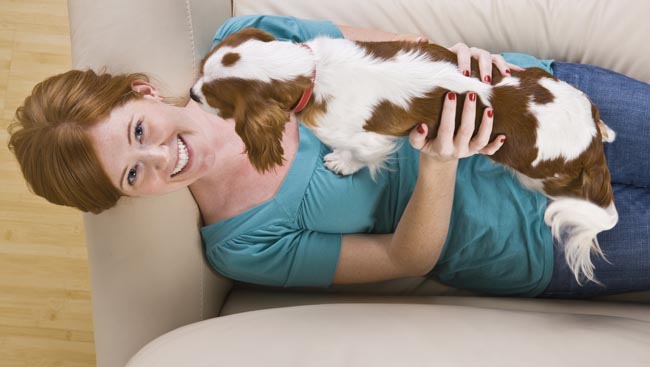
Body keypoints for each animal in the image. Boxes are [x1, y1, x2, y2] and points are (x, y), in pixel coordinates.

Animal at [189, 28, 616, 284]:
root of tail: (589, 145)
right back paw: (608, 129)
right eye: (199, 71)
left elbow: (359, 154)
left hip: (535, 173)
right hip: (551, 83)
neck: (312, 71)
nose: (190, 93)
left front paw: (341, 162)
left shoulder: (371, 141)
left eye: (211, 99)